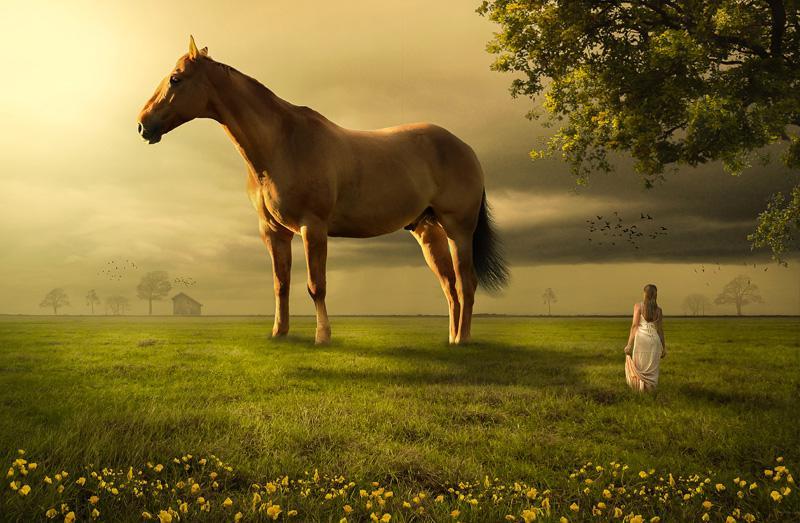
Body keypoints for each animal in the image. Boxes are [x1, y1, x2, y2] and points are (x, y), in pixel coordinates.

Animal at [137, 37, 508, 344]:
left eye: (176, 78)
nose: (143, 125)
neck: (282, 144)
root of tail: (465, 147)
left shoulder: (312, 227)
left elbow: (316, 286)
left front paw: (322, 337)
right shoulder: (273, 232)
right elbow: (281, 284)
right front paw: (279, 333)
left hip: (458, 229)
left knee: (466, 283)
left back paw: (463, 340)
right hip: (427, 231)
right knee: (450, 286)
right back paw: (453, 338)